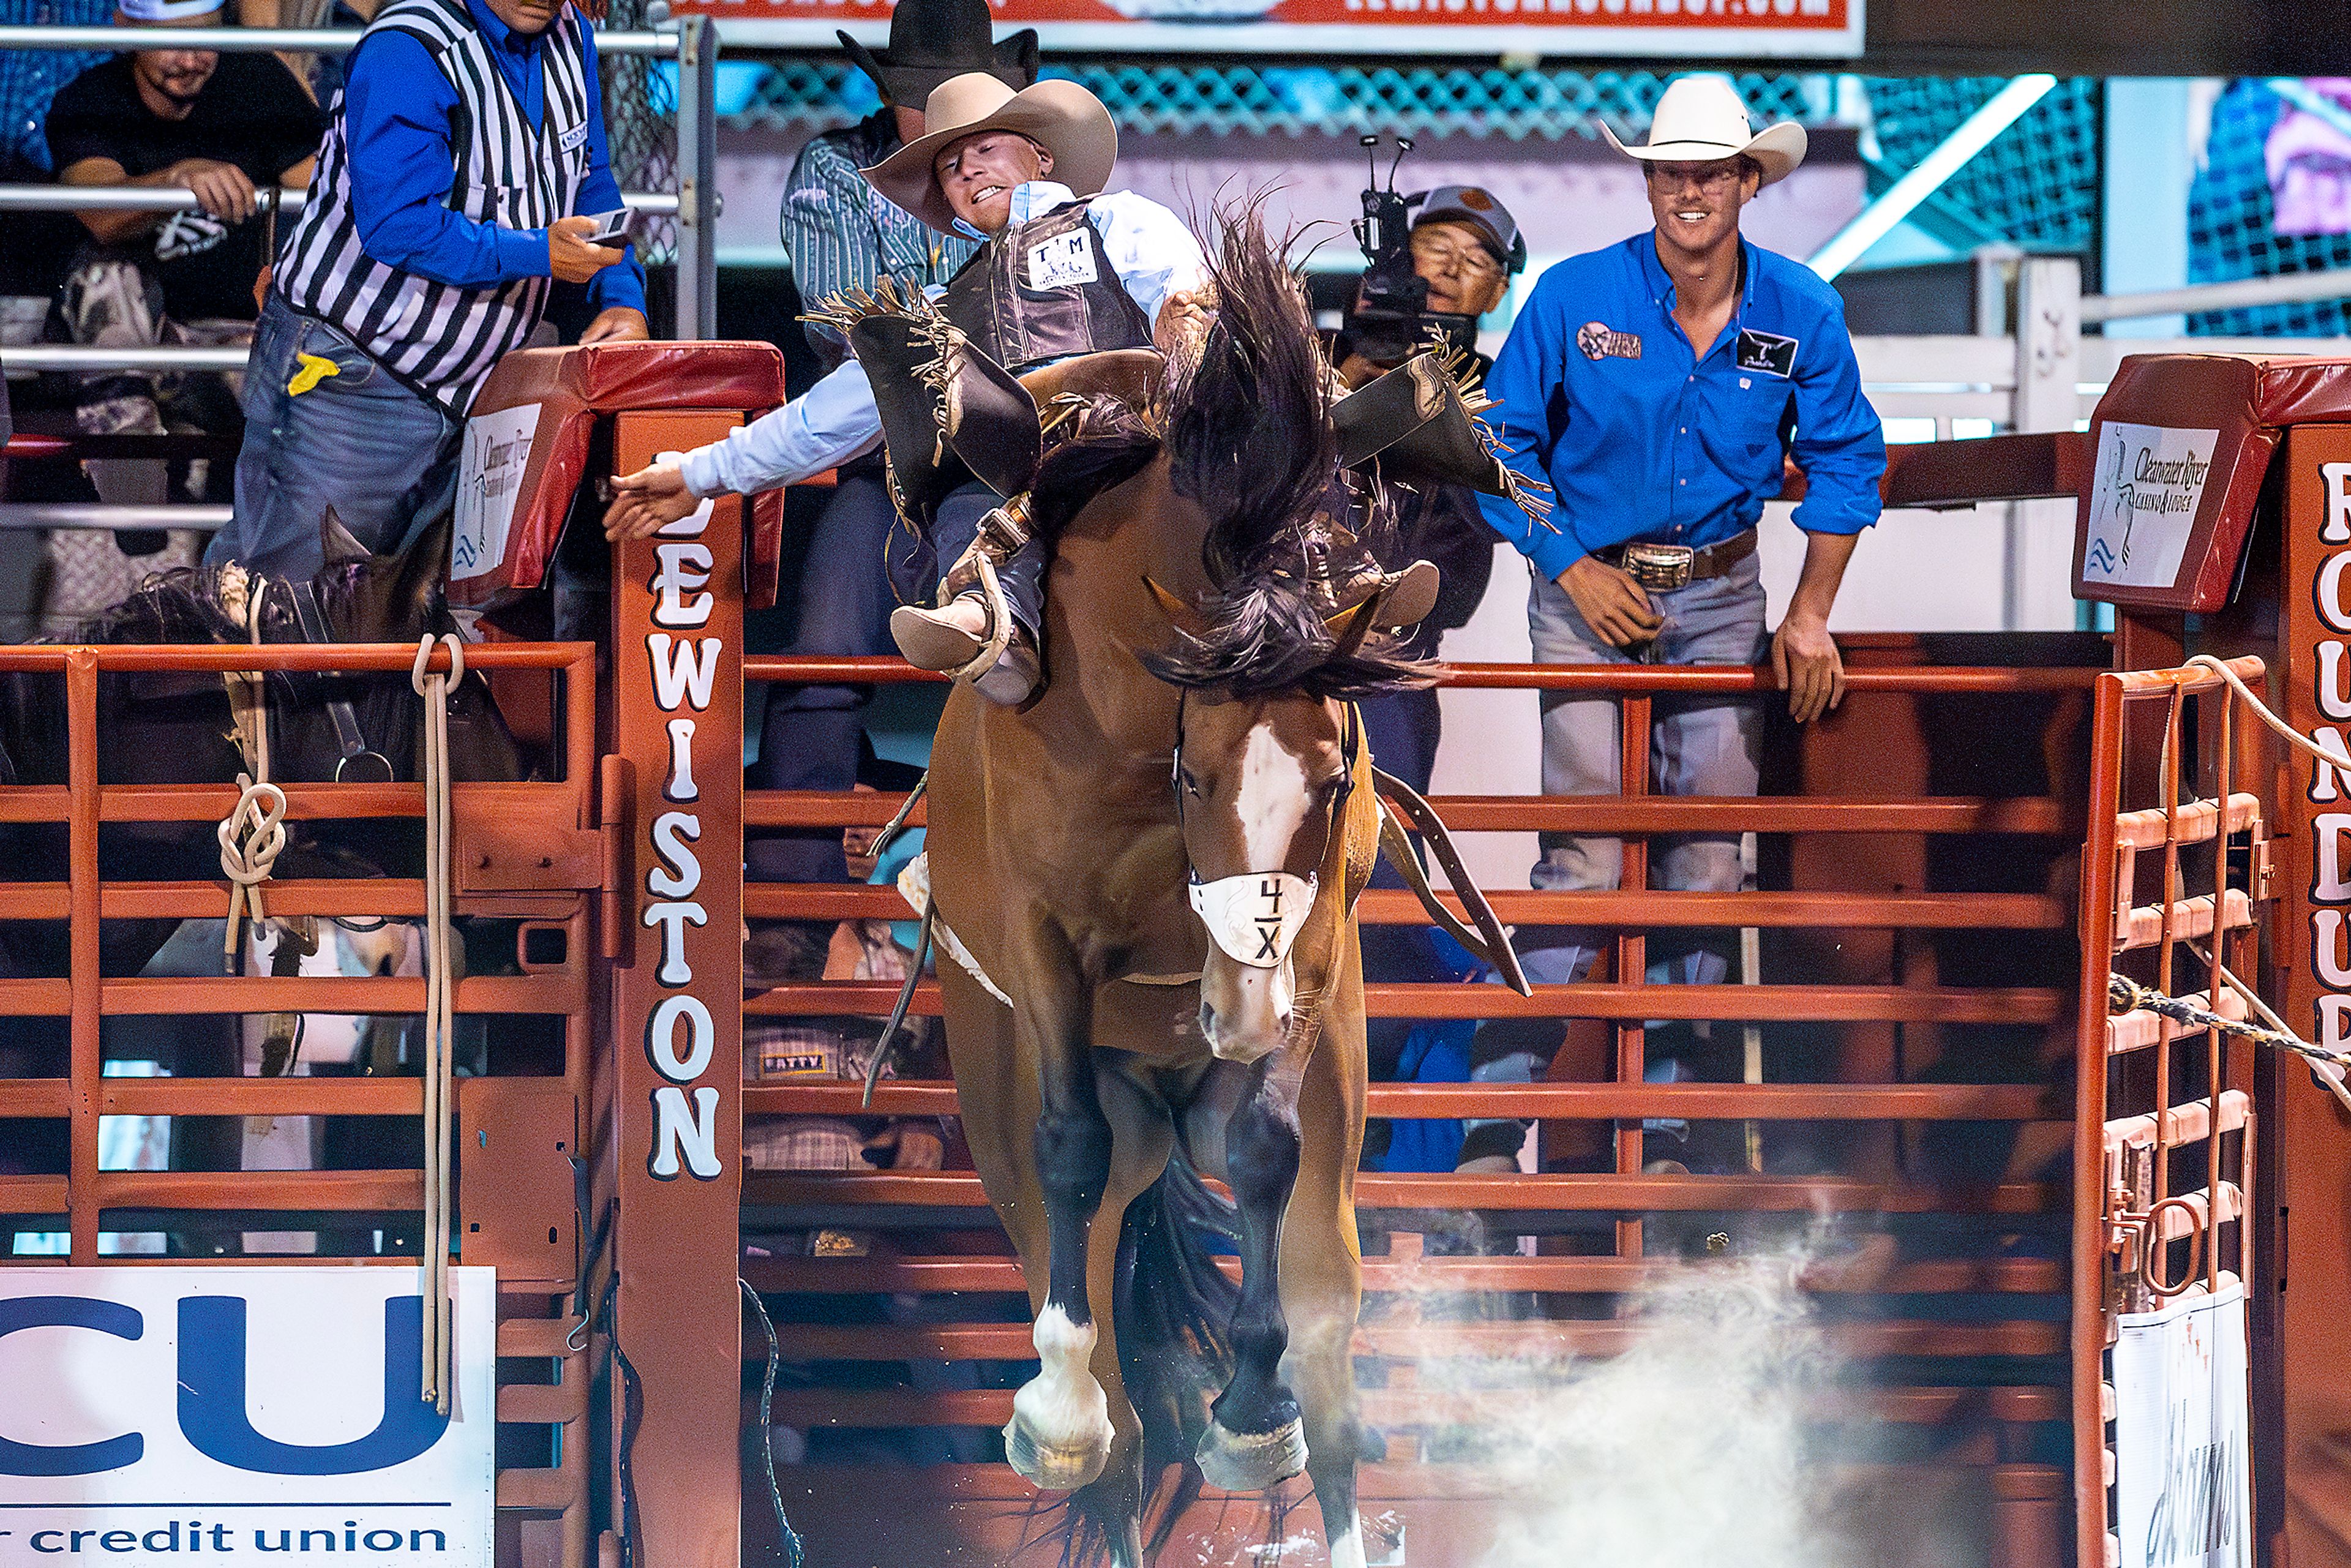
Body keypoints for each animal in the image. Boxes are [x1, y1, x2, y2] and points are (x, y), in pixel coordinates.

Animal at [846, 211, 1542, 1568]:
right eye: (1195, 767)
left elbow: (1266, 1151)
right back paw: (1078, 1415)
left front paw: (1253, 1414)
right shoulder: (1045, 943)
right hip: (1023, 1136)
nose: (1244, 1012)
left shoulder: (1313, 952)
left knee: (1328, 1371)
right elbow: (1068, 1148)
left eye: (1336, 777)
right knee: (1110, 1391)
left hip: (1322, 1170)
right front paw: (1057, 1409)